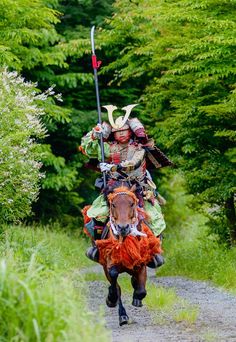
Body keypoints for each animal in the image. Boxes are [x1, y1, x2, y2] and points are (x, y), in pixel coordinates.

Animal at [95, 187, 161, 326]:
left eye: (131, 204)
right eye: (113, 205)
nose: (123, 227)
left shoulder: (141, 264)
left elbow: (141, 291)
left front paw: (137, 299)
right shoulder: (108, 266)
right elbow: (115, 286)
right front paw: (113, 302)